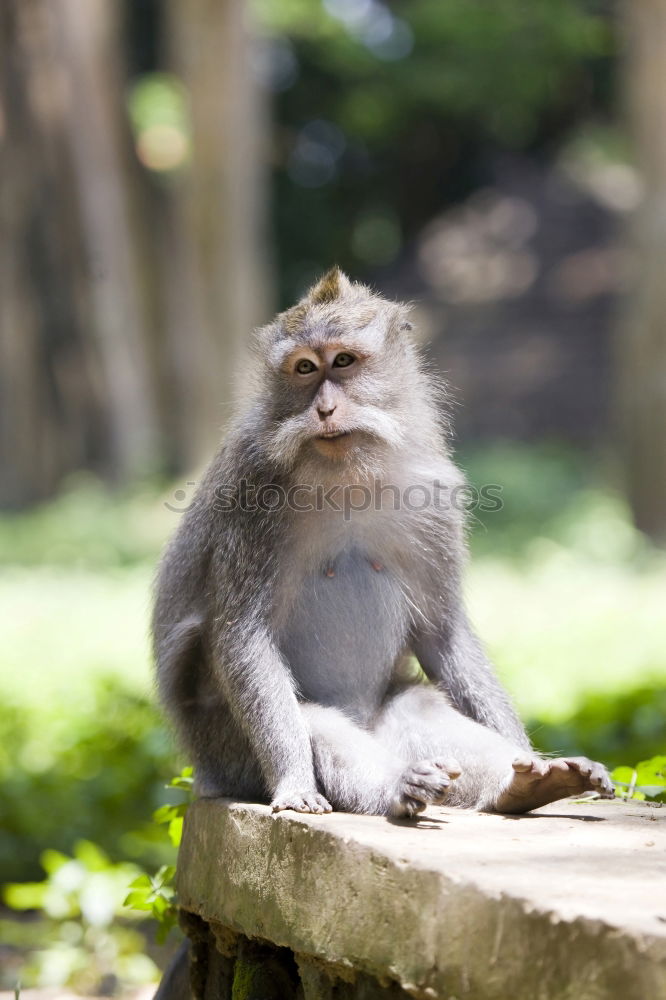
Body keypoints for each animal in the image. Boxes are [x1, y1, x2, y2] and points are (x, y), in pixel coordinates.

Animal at [152, 268, 612, 820]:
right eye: (304, 368)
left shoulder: (435, 497)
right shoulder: (249, 494)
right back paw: (397, 788)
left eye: (343, 361)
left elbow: (441, 633)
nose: (325, 408)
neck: (347, 477)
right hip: (228, 751)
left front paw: (530, 762)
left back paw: (518, 789)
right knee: (316, 722)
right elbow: (245, 639)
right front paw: (295, 782)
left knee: (418, 704)